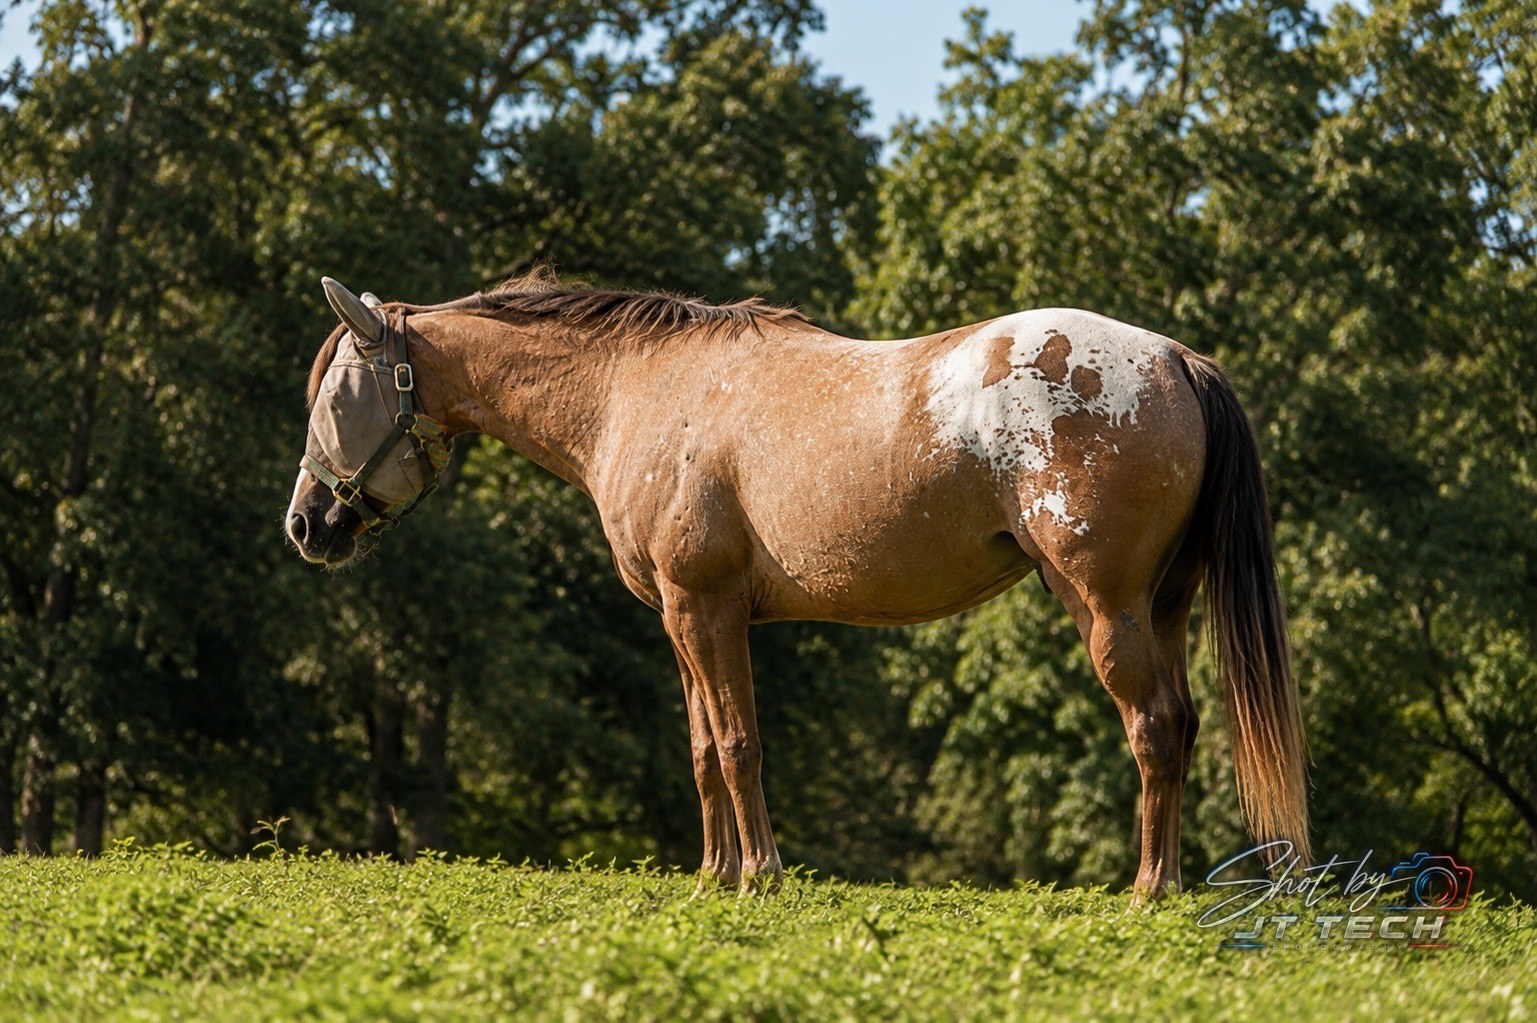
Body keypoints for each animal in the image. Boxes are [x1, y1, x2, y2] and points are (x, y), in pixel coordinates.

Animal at [286, 273, 1308, 900]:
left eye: (337, 394)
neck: (636, 390)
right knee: (1178, 724)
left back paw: (1147, 890)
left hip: (1107, 611)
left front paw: (761, 875)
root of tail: (1174, 358)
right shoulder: (681, 618)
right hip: (1160, 607)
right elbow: (703, 749)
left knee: (1154, 728)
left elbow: (739, 744)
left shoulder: (705, 608)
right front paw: (713, 874)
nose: (306, 524)